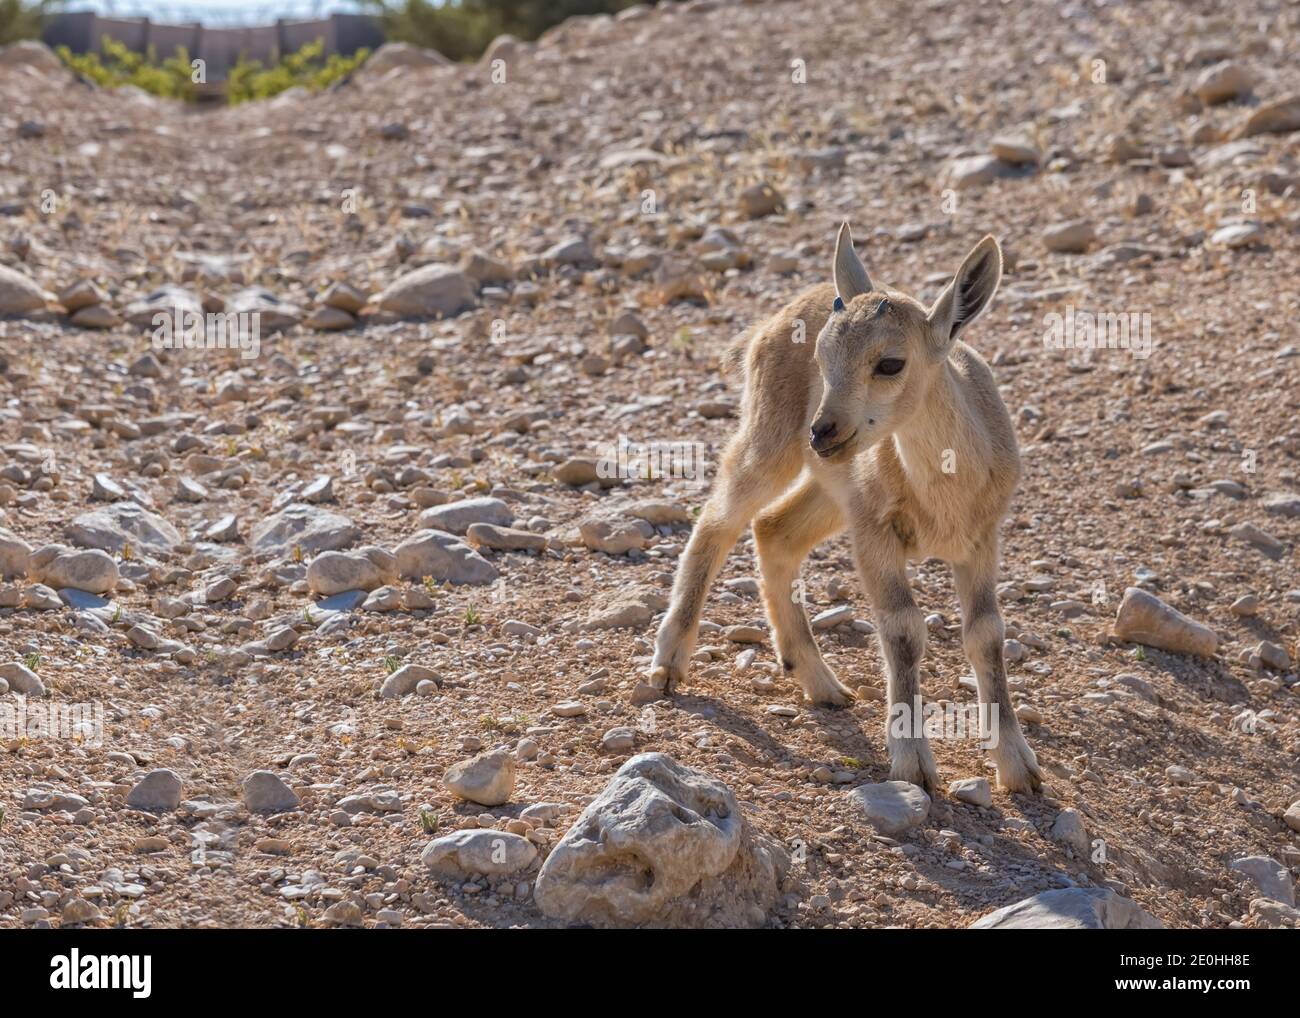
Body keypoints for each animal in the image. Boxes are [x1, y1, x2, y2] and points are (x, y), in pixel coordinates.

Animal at [650, 223, 1045, 795]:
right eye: (820, 357)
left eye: (890, 363)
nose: (823, 430)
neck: (946, 493)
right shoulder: (874, 533)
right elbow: (903, 628)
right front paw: (913, 764)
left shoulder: (981, 539)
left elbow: (987, 634)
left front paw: (1019, 765)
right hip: (773, 444)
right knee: (718, 522)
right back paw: (669, 663)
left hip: (833, 488)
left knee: (774, 529)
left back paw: (820, 681)